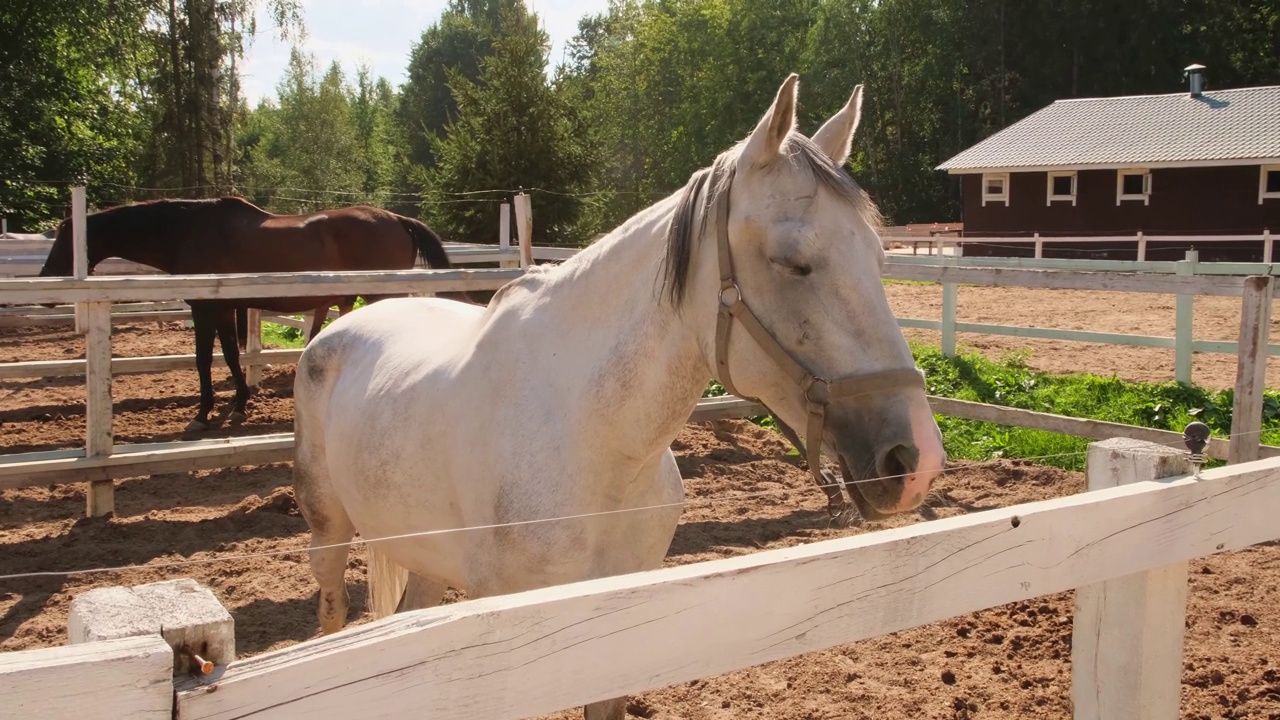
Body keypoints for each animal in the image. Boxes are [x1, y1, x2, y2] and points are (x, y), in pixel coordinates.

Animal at [38, 194, 460, 430]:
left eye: (65, 240)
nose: (45, 285)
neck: (190, 231)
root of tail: (398, 220)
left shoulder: (206, 309)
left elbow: (204, 359)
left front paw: (204, 413)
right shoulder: (224, 308)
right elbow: (228, 355)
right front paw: (239, 403)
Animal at [294, 74, 947, 717]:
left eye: (880, 257)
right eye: (793, 261)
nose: (915, 460)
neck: (593, 446)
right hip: (328, 534)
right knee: (330, 612)